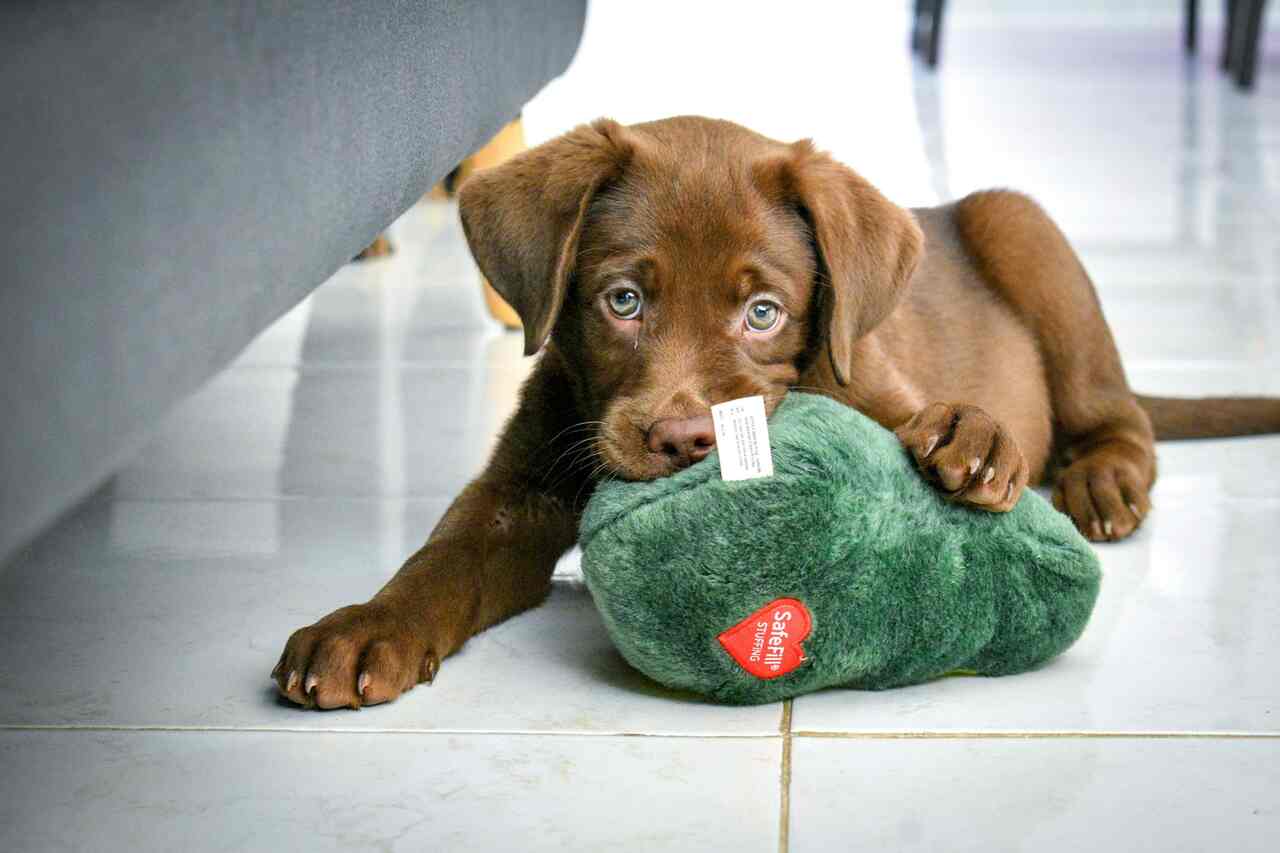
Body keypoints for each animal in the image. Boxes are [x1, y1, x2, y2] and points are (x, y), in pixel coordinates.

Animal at [275, 116, 1280, 706]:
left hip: (1025, 230)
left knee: (1122, 417)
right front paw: (364, 628)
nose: (683, 439)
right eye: (622, 301)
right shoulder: (518, 486)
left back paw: (1102, 479)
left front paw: (975, 435)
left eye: (763, 312)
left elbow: (924, 419)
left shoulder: (876, 380)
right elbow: (442, 559)